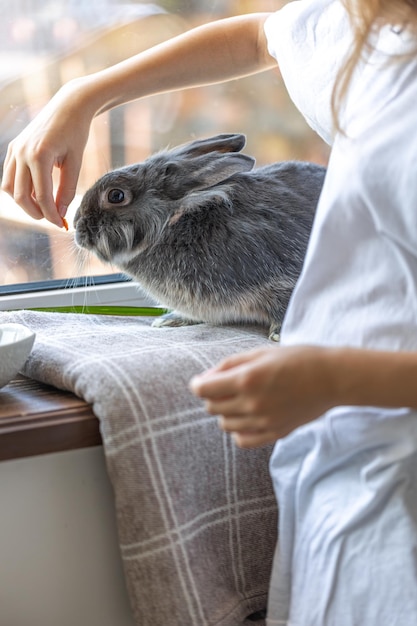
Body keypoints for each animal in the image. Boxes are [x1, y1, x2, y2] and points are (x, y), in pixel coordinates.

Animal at [75, 130, 328, 336]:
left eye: (116, 195)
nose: (77, 226)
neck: (173, 224)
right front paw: (170, 321)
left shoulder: (281, 278)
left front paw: (280, 333)